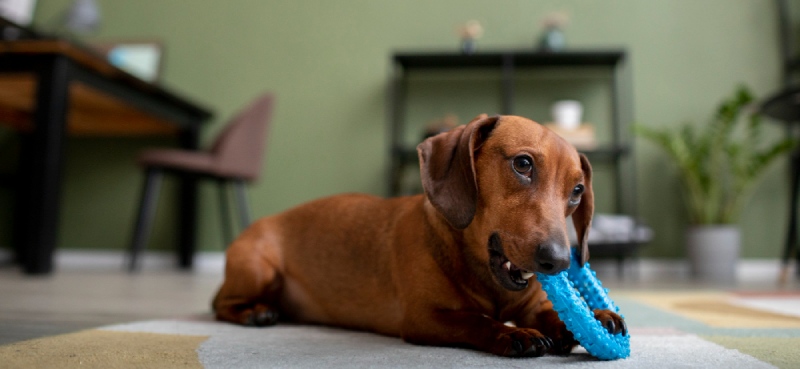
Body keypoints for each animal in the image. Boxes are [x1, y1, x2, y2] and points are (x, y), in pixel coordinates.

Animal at [211, 113, 624, 356]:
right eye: (523, 164)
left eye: (577, 191)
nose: (559, 262)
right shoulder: (425, 318)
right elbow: (475, 320)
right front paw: (513, 334)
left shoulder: (531, 304)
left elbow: (553, 313)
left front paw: (597, 315)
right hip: (259, 269)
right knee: (220, 305)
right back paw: (257, 312)